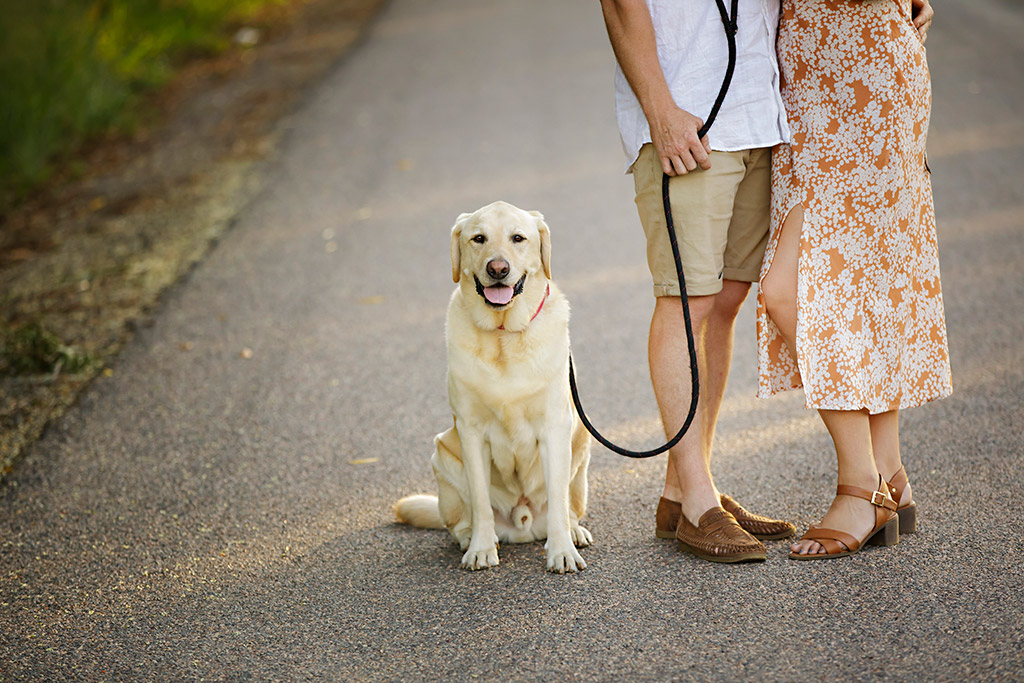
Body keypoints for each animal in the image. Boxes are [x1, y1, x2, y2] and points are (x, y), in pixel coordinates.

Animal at [397, 201, 593, 573]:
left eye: (518, 238)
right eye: (479, 238)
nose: (498, 268)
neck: (504, 336)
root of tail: (524, 524)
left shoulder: (555, 427)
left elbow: (558, 502)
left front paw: (561, 551)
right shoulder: (470, 431)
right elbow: (481, 501)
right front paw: (481, 549)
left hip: (581, 447)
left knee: (568, 506)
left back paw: (574, 533)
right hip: (443, 454)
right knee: (460, 520)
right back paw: (468, 539)